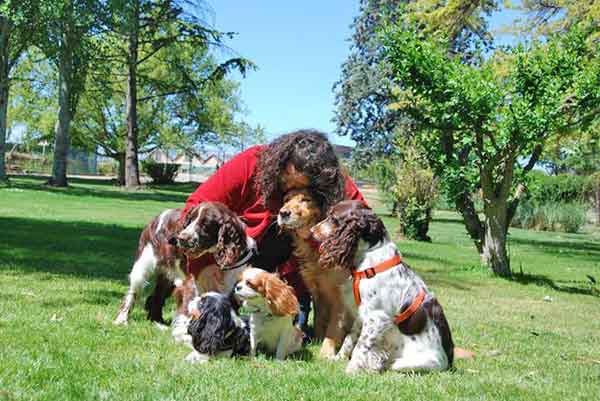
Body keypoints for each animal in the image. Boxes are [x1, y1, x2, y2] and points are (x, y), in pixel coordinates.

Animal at [278, 189, 352, 358]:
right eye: (285, 200)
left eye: (306, 200)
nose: (283, 213)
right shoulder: (317, 291)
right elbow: (319, 318)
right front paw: (317, 340)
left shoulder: (340, 295)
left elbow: (333, 326)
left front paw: (326, 351)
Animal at [314, 202, 454, 374]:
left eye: (333, 218)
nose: (311, 230)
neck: (370, 256)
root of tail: (449, 362)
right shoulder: (362, 315)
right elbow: (350, 339)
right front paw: (337, 359)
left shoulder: (377, 317)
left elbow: (361, 346)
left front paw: (351, 371)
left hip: (407, 363)